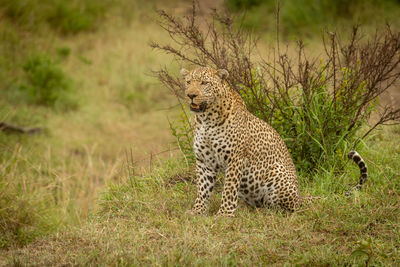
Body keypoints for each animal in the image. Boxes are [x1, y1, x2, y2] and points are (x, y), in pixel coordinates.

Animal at [181, 66, 368, 218]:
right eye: (188, 82)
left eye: (204, 83)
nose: (191, 95)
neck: (206, 119)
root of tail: (300, 196)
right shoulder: (204, 161)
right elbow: (203, 188)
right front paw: (198, 211)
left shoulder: (235, 159)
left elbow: (228, 189)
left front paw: (224, 214)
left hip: (277, 177)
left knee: (289, 208)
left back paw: (265, 212)